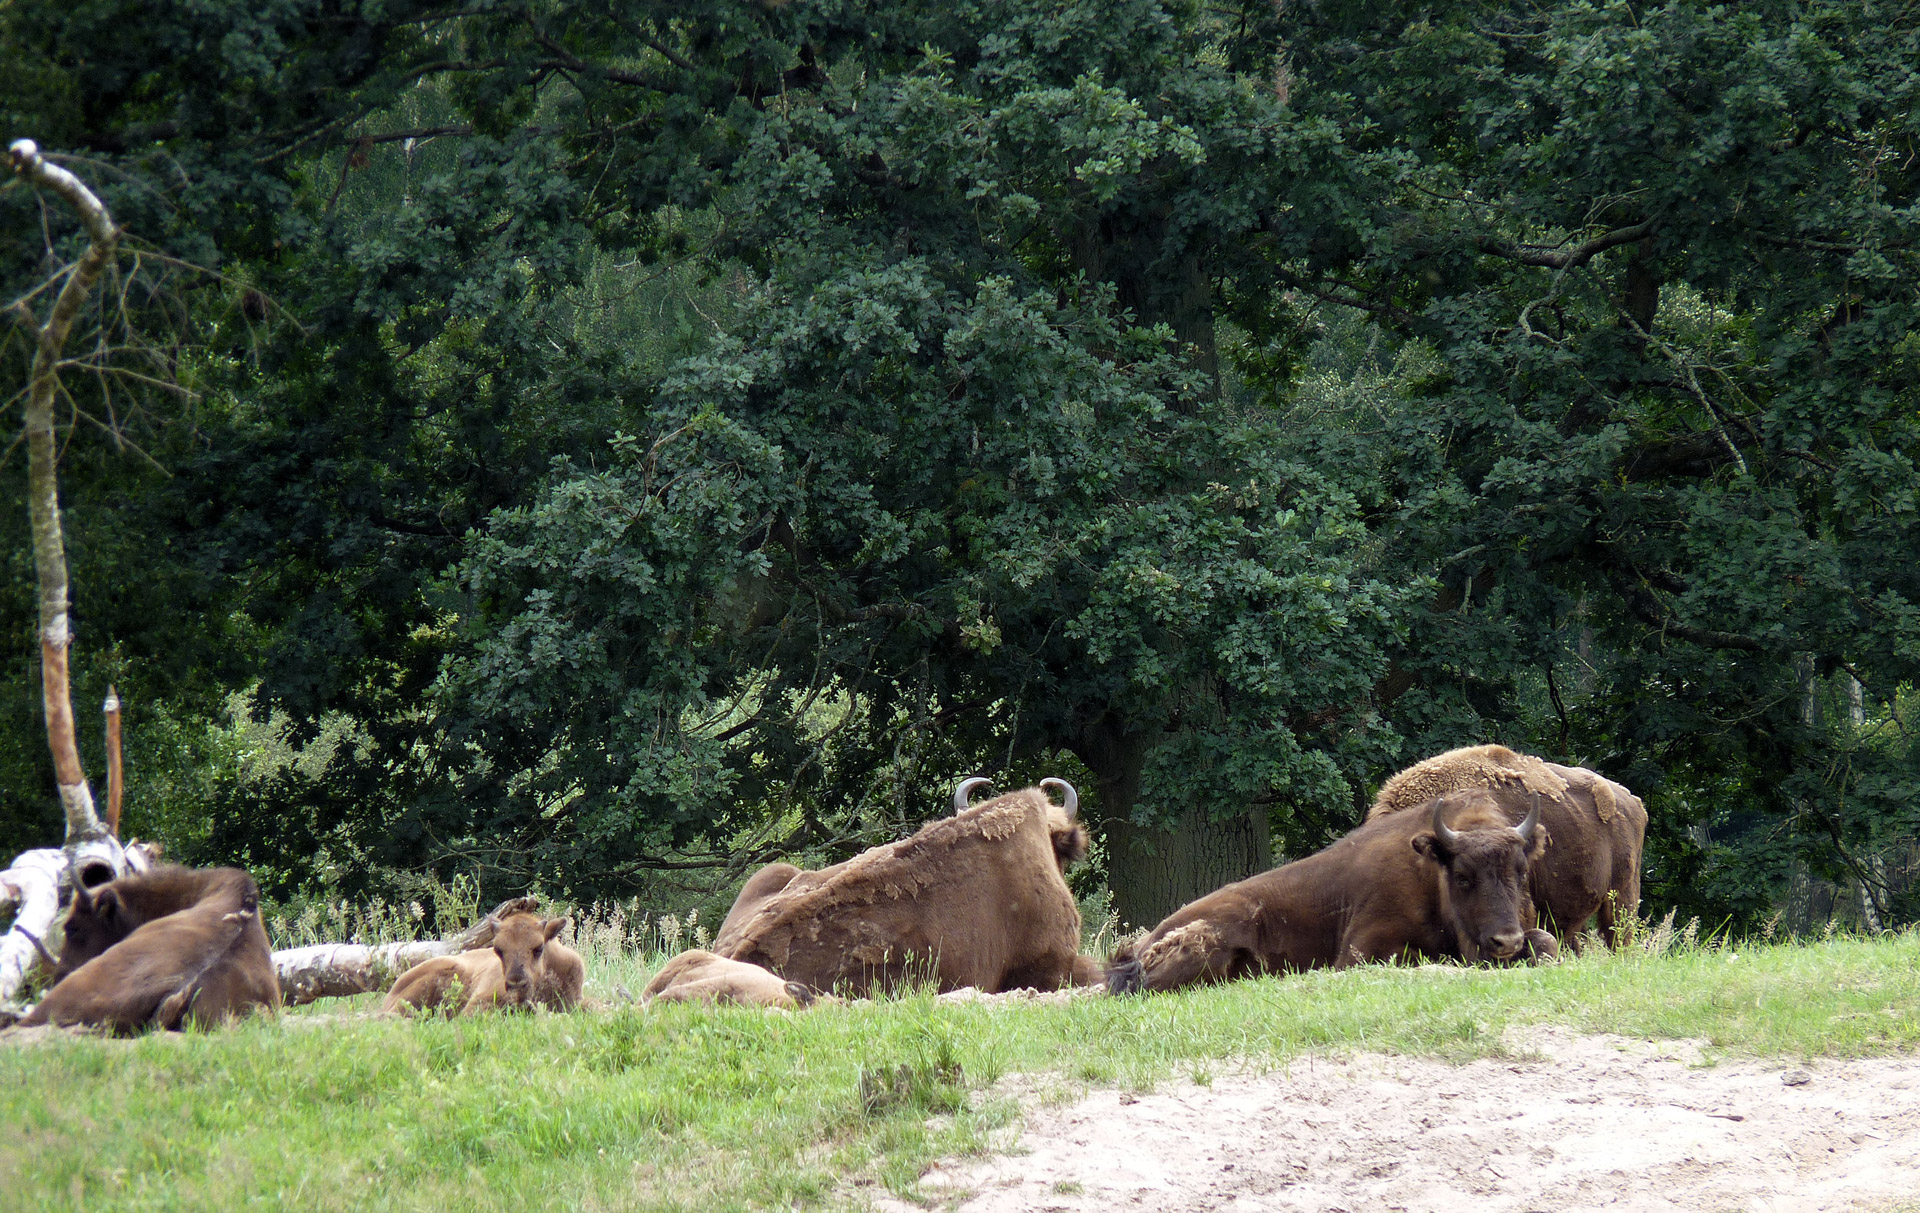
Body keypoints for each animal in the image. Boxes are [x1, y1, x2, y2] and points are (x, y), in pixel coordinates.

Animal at [1105, 786, 1566, 998]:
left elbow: (1547, 942)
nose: (1506, 941)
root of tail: (1140, 945)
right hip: (1206, 941)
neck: (1428, 872)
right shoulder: (1361, 950)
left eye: (1521, 871)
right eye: (1464, 876)